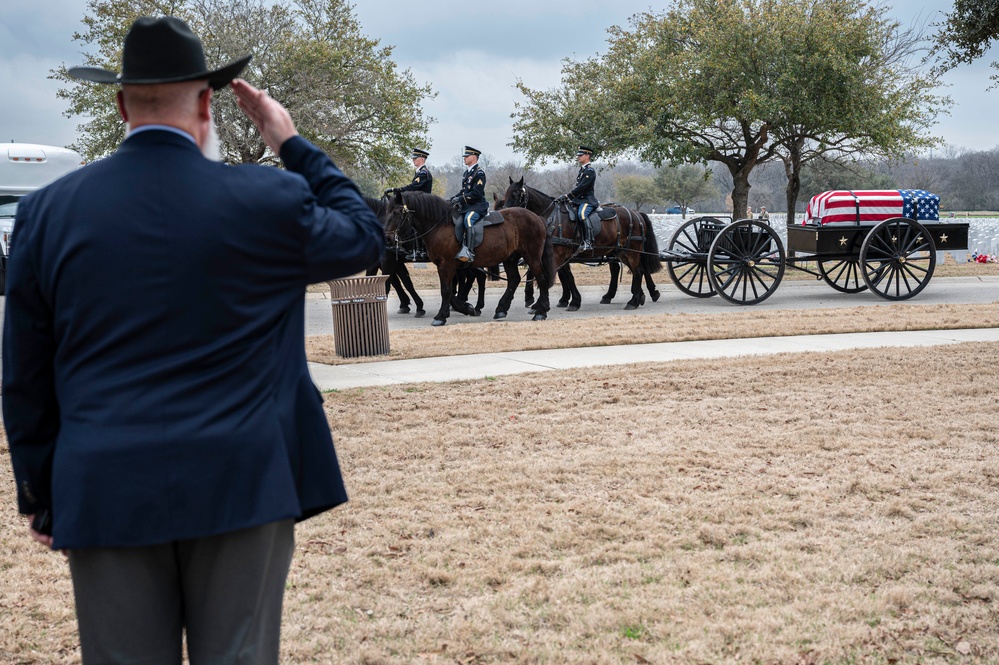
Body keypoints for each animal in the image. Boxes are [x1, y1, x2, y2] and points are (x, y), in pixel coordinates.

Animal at [384, 191, 560, 326]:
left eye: (397, 212)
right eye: (387, 211)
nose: (387, 239)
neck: (440, 224)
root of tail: (537, 217)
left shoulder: (446, 265)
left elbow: (446, 290)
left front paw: (441, 317)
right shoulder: (444, 265)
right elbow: (450, 292)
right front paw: (467, 308)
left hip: (532, 256)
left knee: (541, 278)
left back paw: (541, 311)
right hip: (510, 258)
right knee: (514, 280)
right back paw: (501, 309)